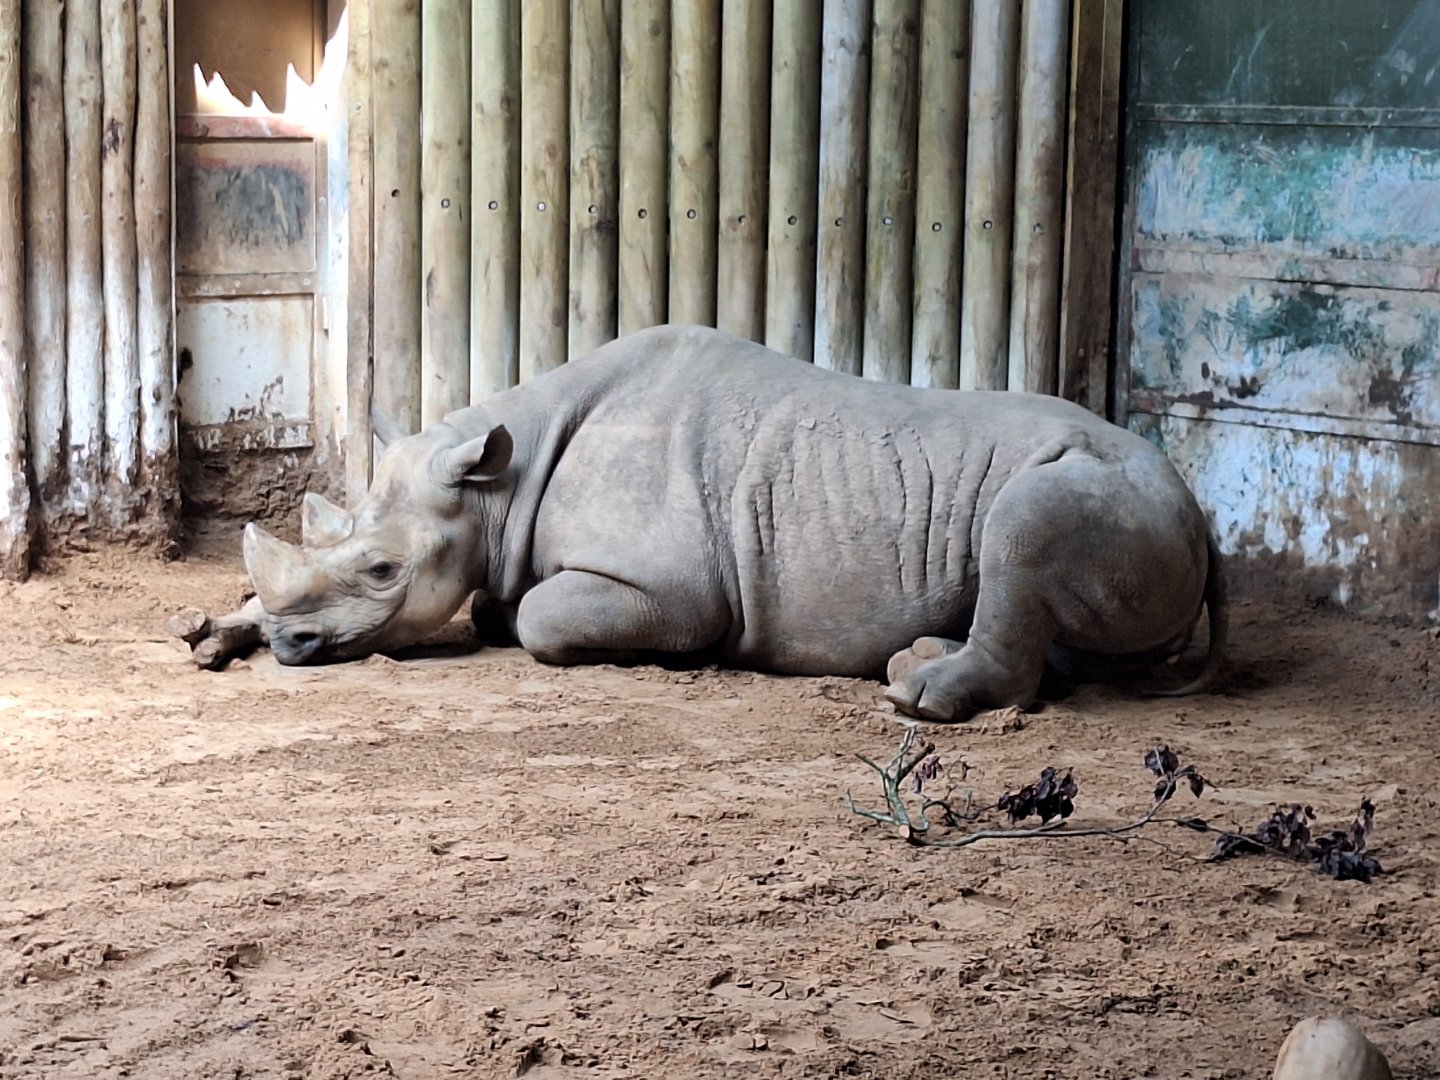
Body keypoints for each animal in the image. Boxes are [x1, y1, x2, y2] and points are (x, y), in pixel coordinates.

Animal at [177, 324, 1225, 723]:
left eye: (383, 574)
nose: (293, 645)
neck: (494, 486)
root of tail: (1203, 513)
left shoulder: (679, 593)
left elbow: (541, 619)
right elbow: (502, 605)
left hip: (1117, 491)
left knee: (1025, 526)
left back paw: (916, 696)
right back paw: (914, 659)